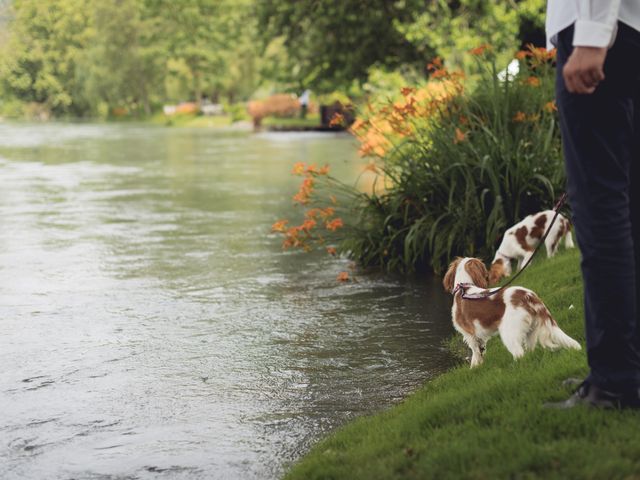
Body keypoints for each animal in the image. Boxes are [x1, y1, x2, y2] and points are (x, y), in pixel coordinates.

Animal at [444, 258, 580, 368]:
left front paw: (474, 368)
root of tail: (528, 296)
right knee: (529, 352)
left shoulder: (470, 335)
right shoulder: (480, 336)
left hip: (509, 333)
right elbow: (481, 351)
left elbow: (475, 353)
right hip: (531, 332)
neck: (464, 288)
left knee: (519, 353)